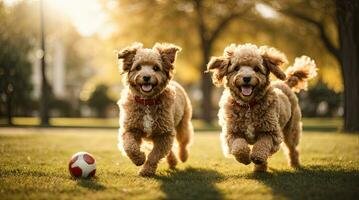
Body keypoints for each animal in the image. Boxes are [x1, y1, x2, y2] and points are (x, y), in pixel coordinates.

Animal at [117, 42, 194, 177]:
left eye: (156, 68)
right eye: (138, 67)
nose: (146, 77)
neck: (147, 102)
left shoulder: (165, 134)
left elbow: (154, 155)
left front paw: (146, 171)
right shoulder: (130, 128)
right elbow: (130, 146)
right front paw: (139, 159)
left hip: (182, 124)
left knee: (183, 142)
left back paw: (183, 156)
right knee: (170, 150)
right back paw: (172, 161)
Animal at [208, 44, 318, 172]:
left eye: (256, 69)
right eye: (236, 68)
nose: (246, 78)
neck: (248, 106)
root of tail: (285, 84)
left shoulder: (270, 132)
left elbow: (262, 146)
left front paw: (257, 157)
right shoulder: (232, 132)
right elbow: (239, 147)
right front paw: (245, 158)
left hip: (291, 129)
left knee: (292, 148)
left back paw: (294, 164)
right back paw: (260, 169)